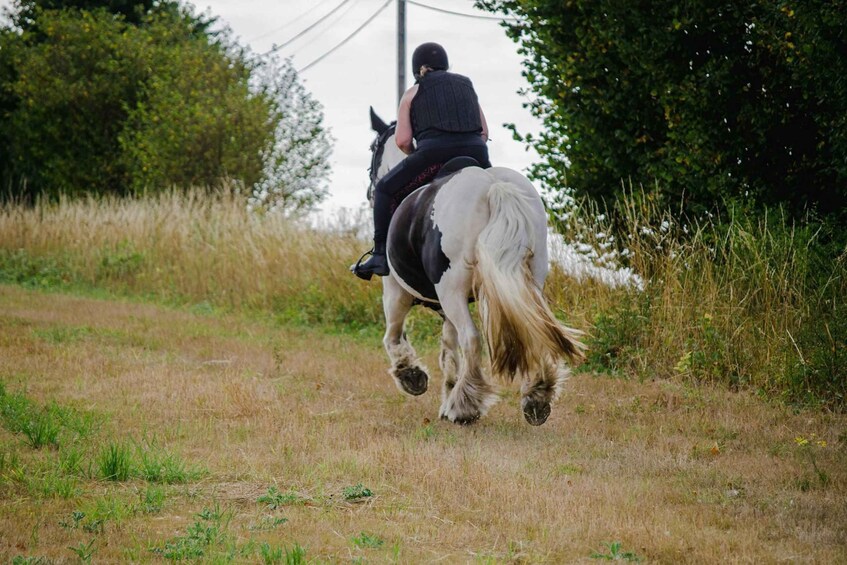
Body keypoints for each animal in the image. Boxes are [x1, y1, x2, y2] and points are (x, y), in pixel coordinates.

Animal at [365, 108, 585, 425]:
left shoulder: (395, 290)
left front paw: (412, 376)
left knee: (471, 338)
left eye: (373, 148)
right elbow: (448, 349)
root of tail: (493, 186)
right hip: (529, 281)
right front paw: (446, 394)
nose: (370, 191)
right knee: (536, 327)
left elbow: (393, 337)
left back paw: (465, 407)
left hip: (450, 288)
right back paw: (536, 398)